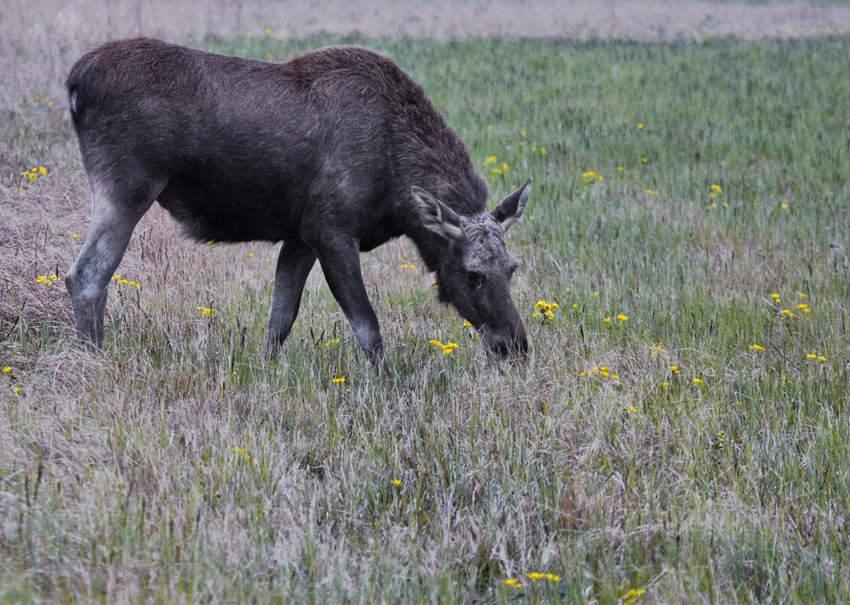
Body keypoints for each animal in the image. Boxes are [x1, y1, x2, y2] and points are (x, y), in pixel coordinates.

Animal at [64, 39, 528, 372]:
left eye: (512, 268)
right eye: (471, 274)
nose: (515, 347)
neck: (396, 192)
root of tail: (73, 84)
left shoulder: (300, 237)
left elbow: (279, 321)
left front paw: (265, 372)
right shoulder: (331, 229)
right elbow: (368, 326)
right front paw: (389, 385)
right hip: (126, 187)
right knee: (85, 275)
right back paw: (93, 360)